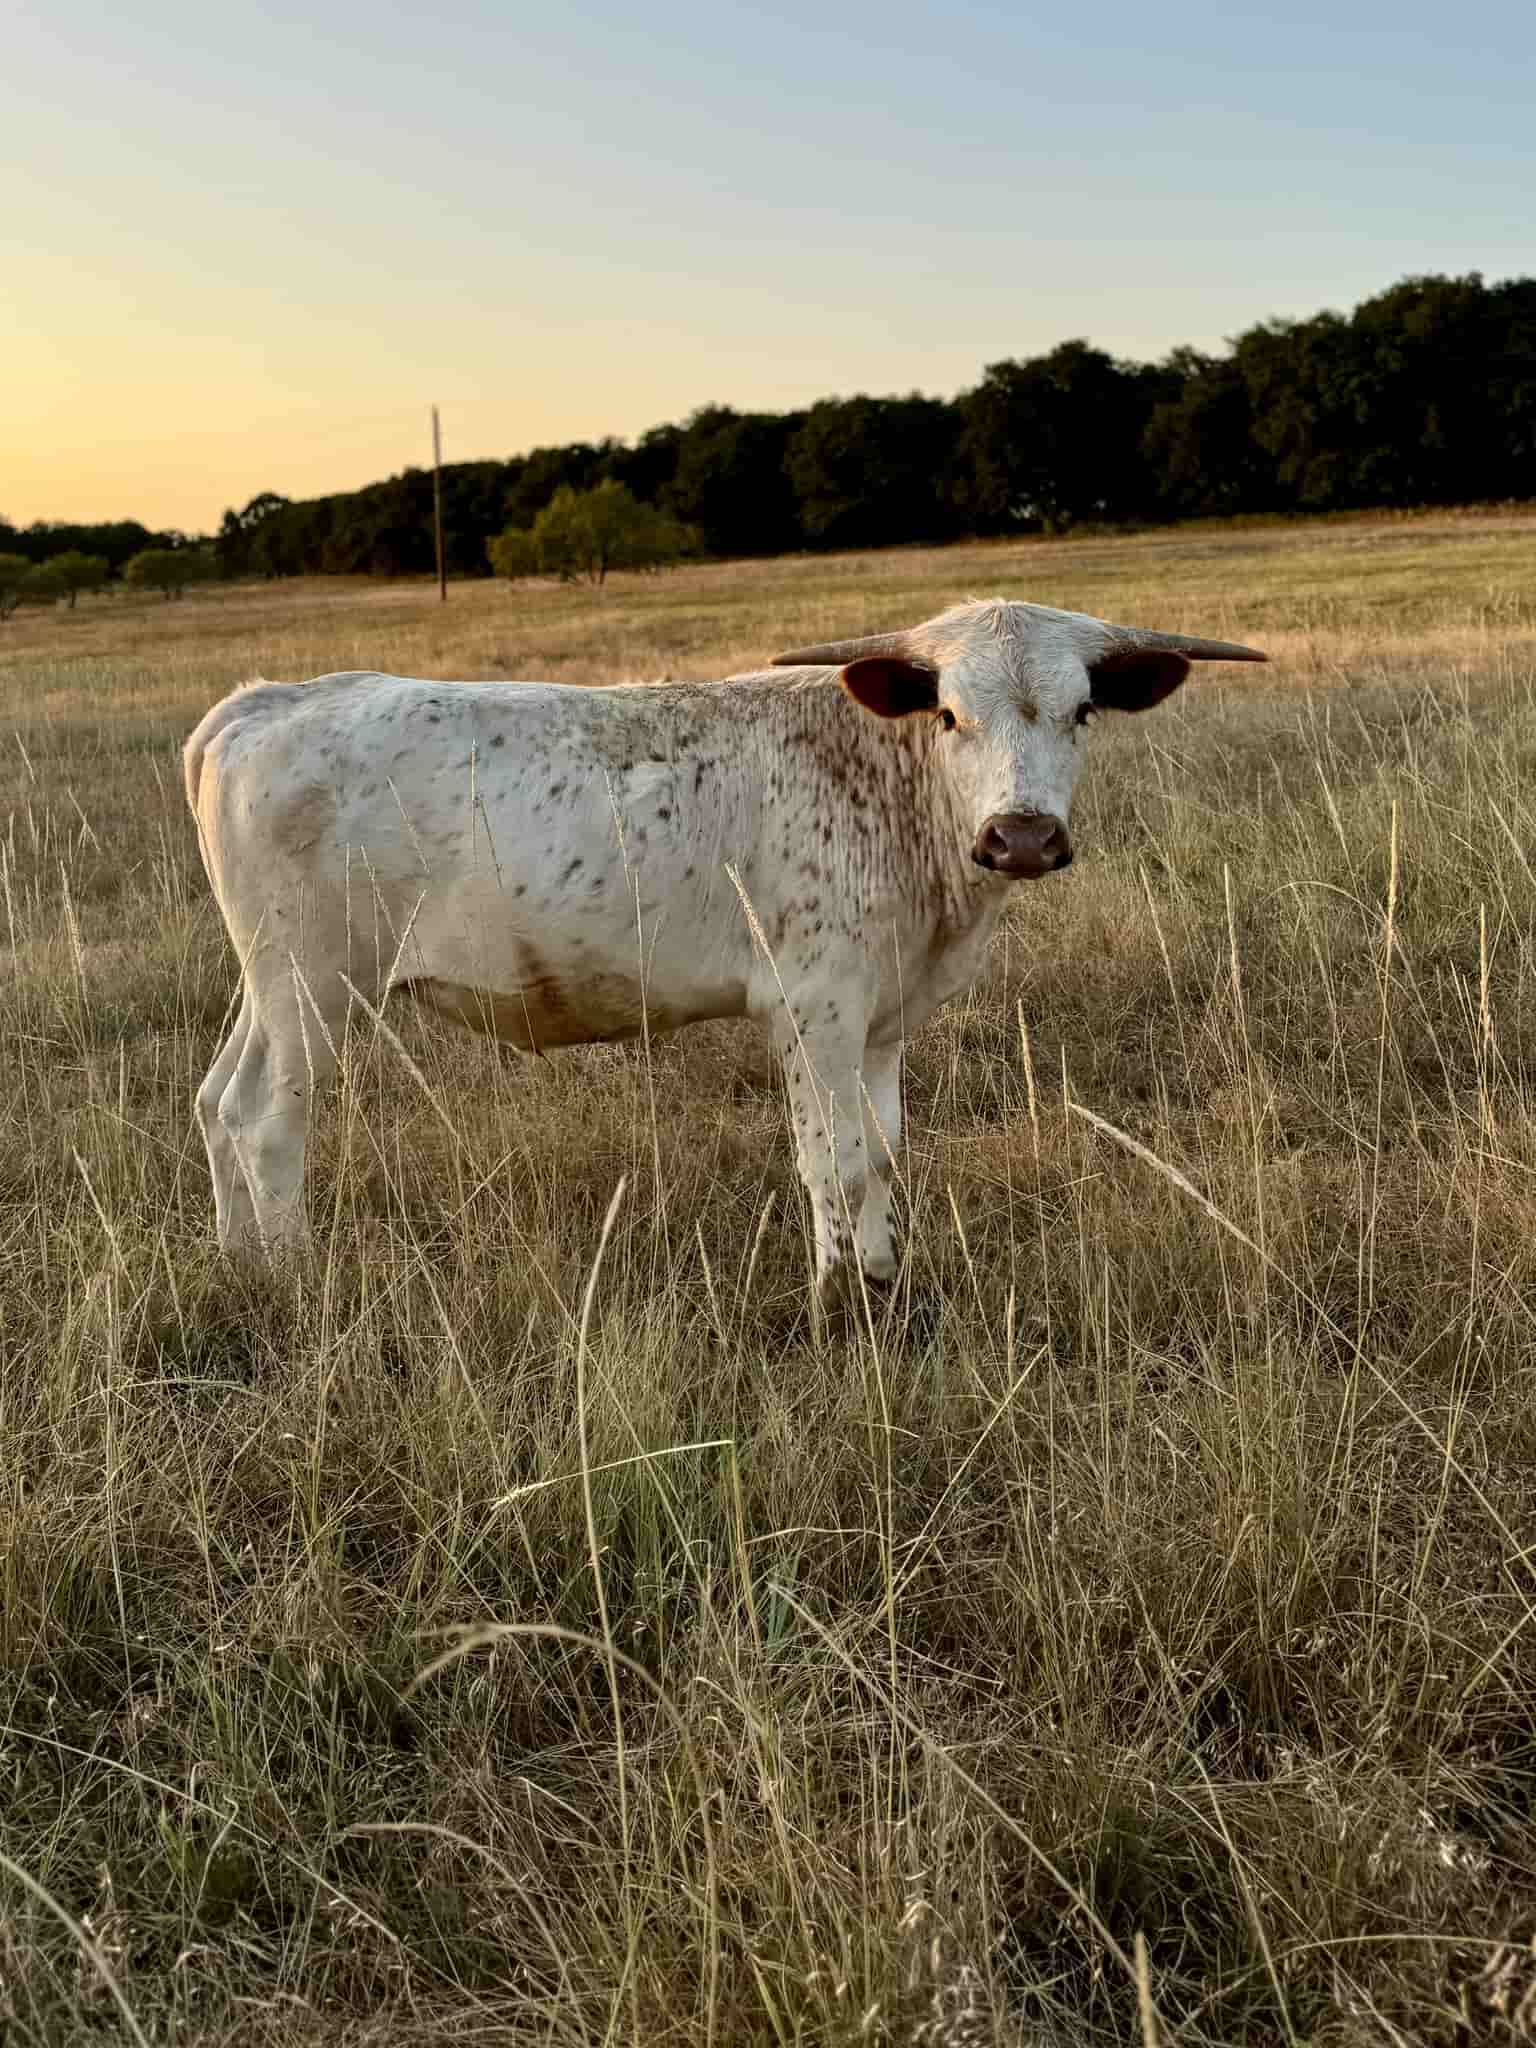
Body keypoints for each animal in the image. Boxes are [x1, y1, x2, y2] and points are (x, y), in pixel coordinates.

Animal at [183, 598, 1261, 1302]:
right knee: (267, 1120)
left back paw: (238, 1265)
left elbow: (883, 1150)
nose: (1022, 836)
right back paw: (294, 1277)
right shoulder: (811, 1006)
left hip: (269, 984)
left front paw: (881, 1274)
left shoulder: (883, 1019)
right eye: (951, 713)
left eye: (1081, 711)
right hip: (315, 983)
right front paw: (840, 1302)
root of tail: (261, 703)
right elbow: (836, 1161)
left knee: (217, 1099)